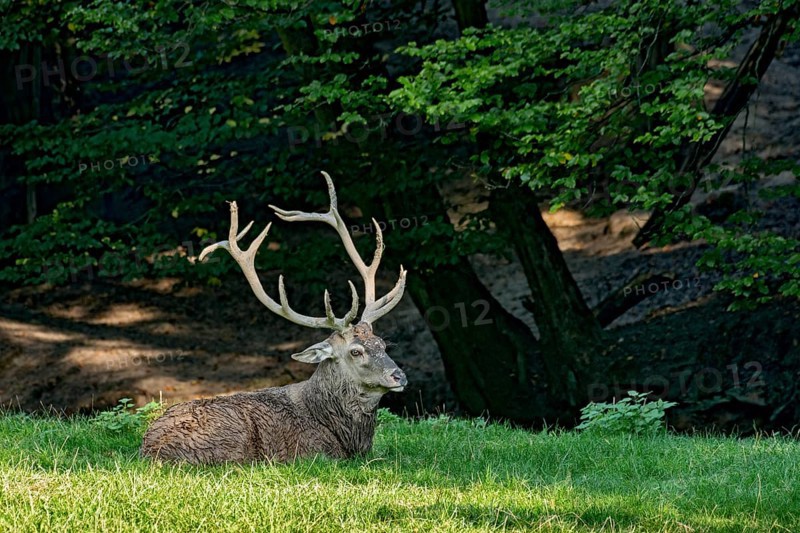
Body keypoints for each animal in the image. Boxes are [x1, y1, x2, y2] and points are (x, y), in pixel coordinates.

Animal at [140, 172, 408, 464]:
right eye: (356, 351)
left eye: (382, 344)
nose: (399, 376)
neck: (348, 439)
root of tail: (150, 452)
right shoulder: (316, 452)